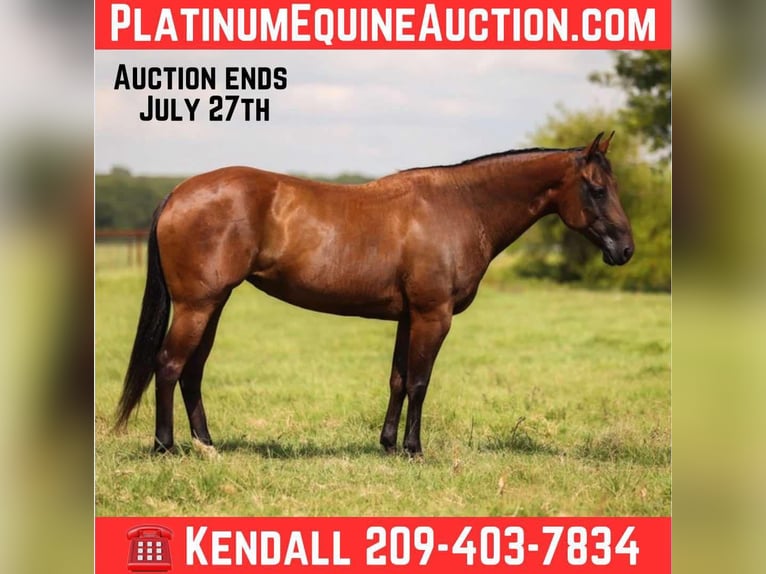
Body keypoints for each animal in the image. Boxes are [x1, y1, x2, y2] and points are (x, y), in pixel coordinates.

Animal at [114, 132, 633, 456]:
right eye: (596, 188)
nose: (625, 249)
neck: (460, 207)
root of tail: (180, 193)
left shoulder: (409, 317)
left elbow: (399, 379)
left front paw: (387, 445)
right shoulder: (433, 315)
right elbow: (421, 381)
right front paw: (414, 450)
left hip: (213, 304)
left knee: (192, 371)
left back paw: (207, 444)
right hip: (197, 306)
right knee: (169, 365)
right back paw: (165, 446)